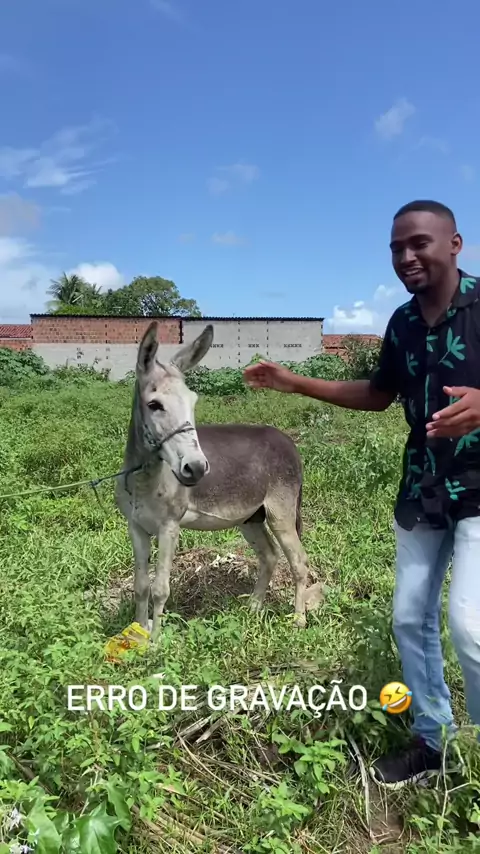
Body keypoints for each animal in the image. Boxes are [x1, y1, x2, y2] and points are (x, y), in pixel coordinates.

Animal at [115, 320, 322, 639]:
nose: (197, 468)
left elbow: (161, 589)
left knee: (298, 560)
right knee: (270, 555)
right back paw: (254, 607)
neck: (144, 478)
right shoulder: (135, 527)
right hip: (251, 518)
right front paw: (139, 632)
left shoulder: (169, 527)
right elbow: (141, 587)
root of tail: (288, 441)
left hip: (281, 512)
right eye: (154, 405)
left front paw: (156, 643)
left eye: (193, 402)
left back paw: (298, 620)